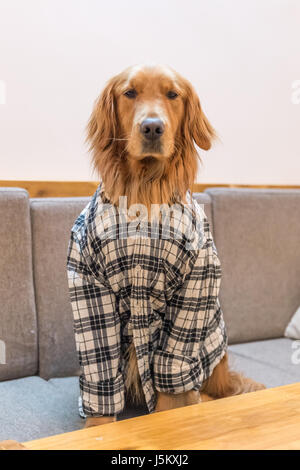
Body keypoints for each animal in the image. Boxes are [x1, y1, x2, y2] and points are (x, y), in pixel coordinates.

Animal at [83, 64, 264, 428]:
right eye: (129, 93)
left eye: (172, 95)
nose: (152, 127)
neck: (144, 193)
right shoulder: (89, 284)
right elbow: (101, 372)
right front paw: (94, 427)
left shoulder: (196, 282)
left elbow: (172, 385)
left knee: (210, 392)